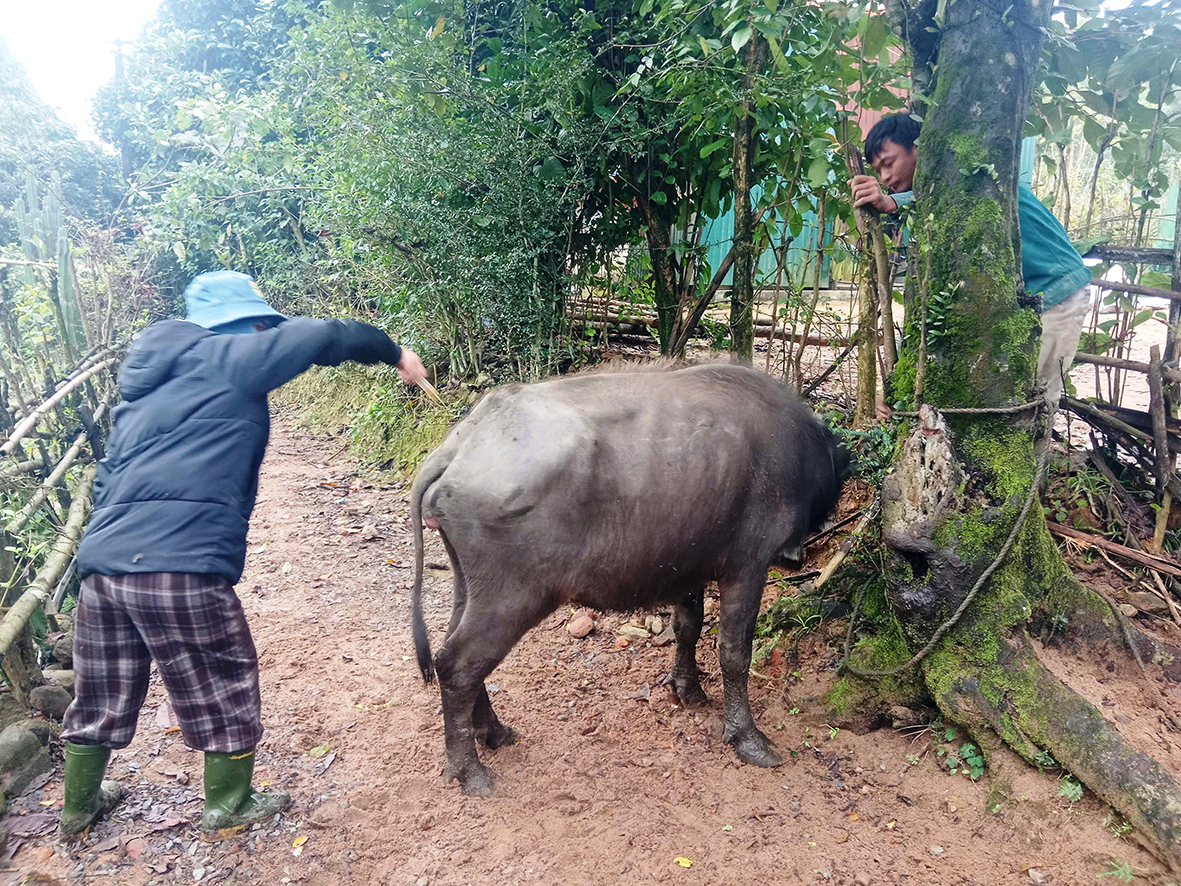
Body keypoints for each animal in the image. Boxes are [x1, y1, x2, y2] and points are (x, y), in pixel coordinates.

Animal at [408, 361, 850, 798]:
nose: (795, 558)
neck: (797, 447)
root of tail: (460, 445)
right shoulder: (747, 566)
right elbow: (734, 651)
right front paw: (747, 737)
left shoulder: (688, 564)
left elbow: (687, 626)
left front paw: (687, 689)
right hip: (513, 597)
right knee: (457, 664)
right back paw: (470, 770)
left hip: (469, 585)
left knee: (454, 653)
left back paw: (494, 733)